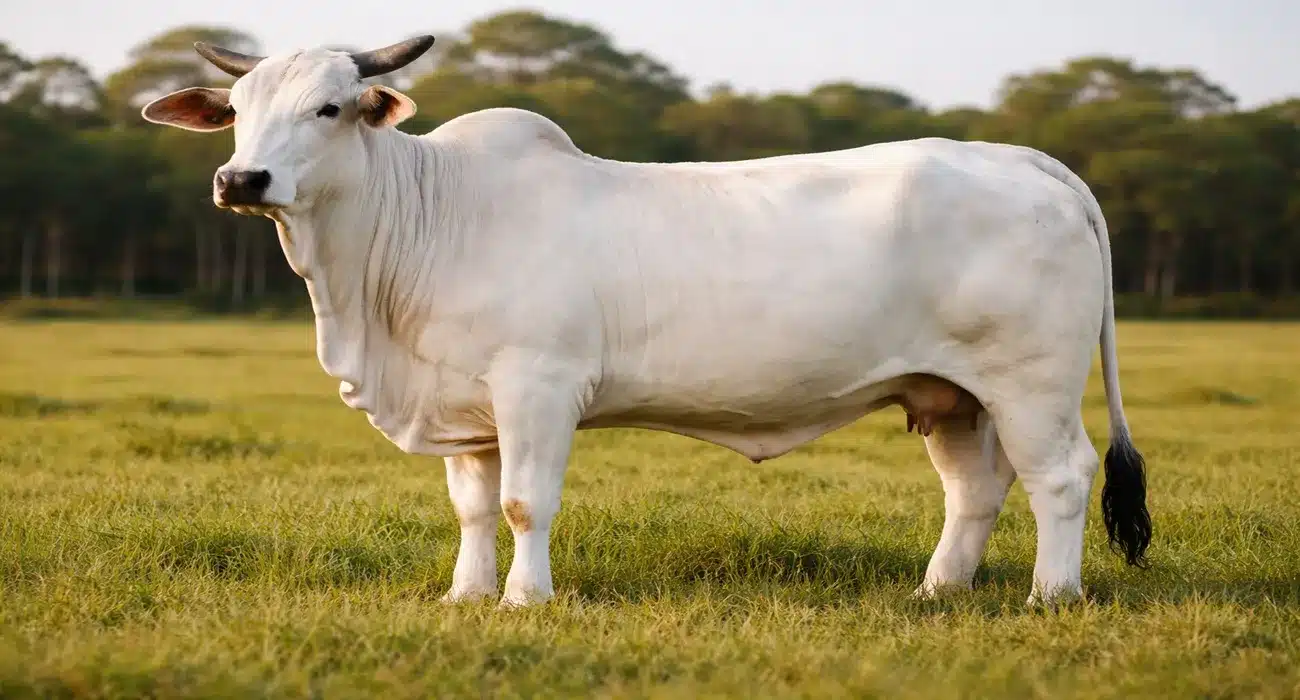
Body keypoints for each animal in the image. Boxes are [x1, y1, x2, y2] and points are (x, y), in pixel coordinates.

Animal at [140, 36, 1152, 608]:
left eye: (330, 107)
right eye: (236, 112)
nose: (241, 179)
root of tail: (1025, 160)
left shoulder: (538, 386)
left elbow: (525, 502)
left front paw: (524, 601)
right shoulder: (468, 407)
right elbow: (473, 507)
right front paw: (465, 596)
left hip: (1030, 383)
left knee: (1060, 478)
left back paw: (1051, 595)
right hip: (950, 394)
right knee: (974, 490)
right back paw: (937, 591)